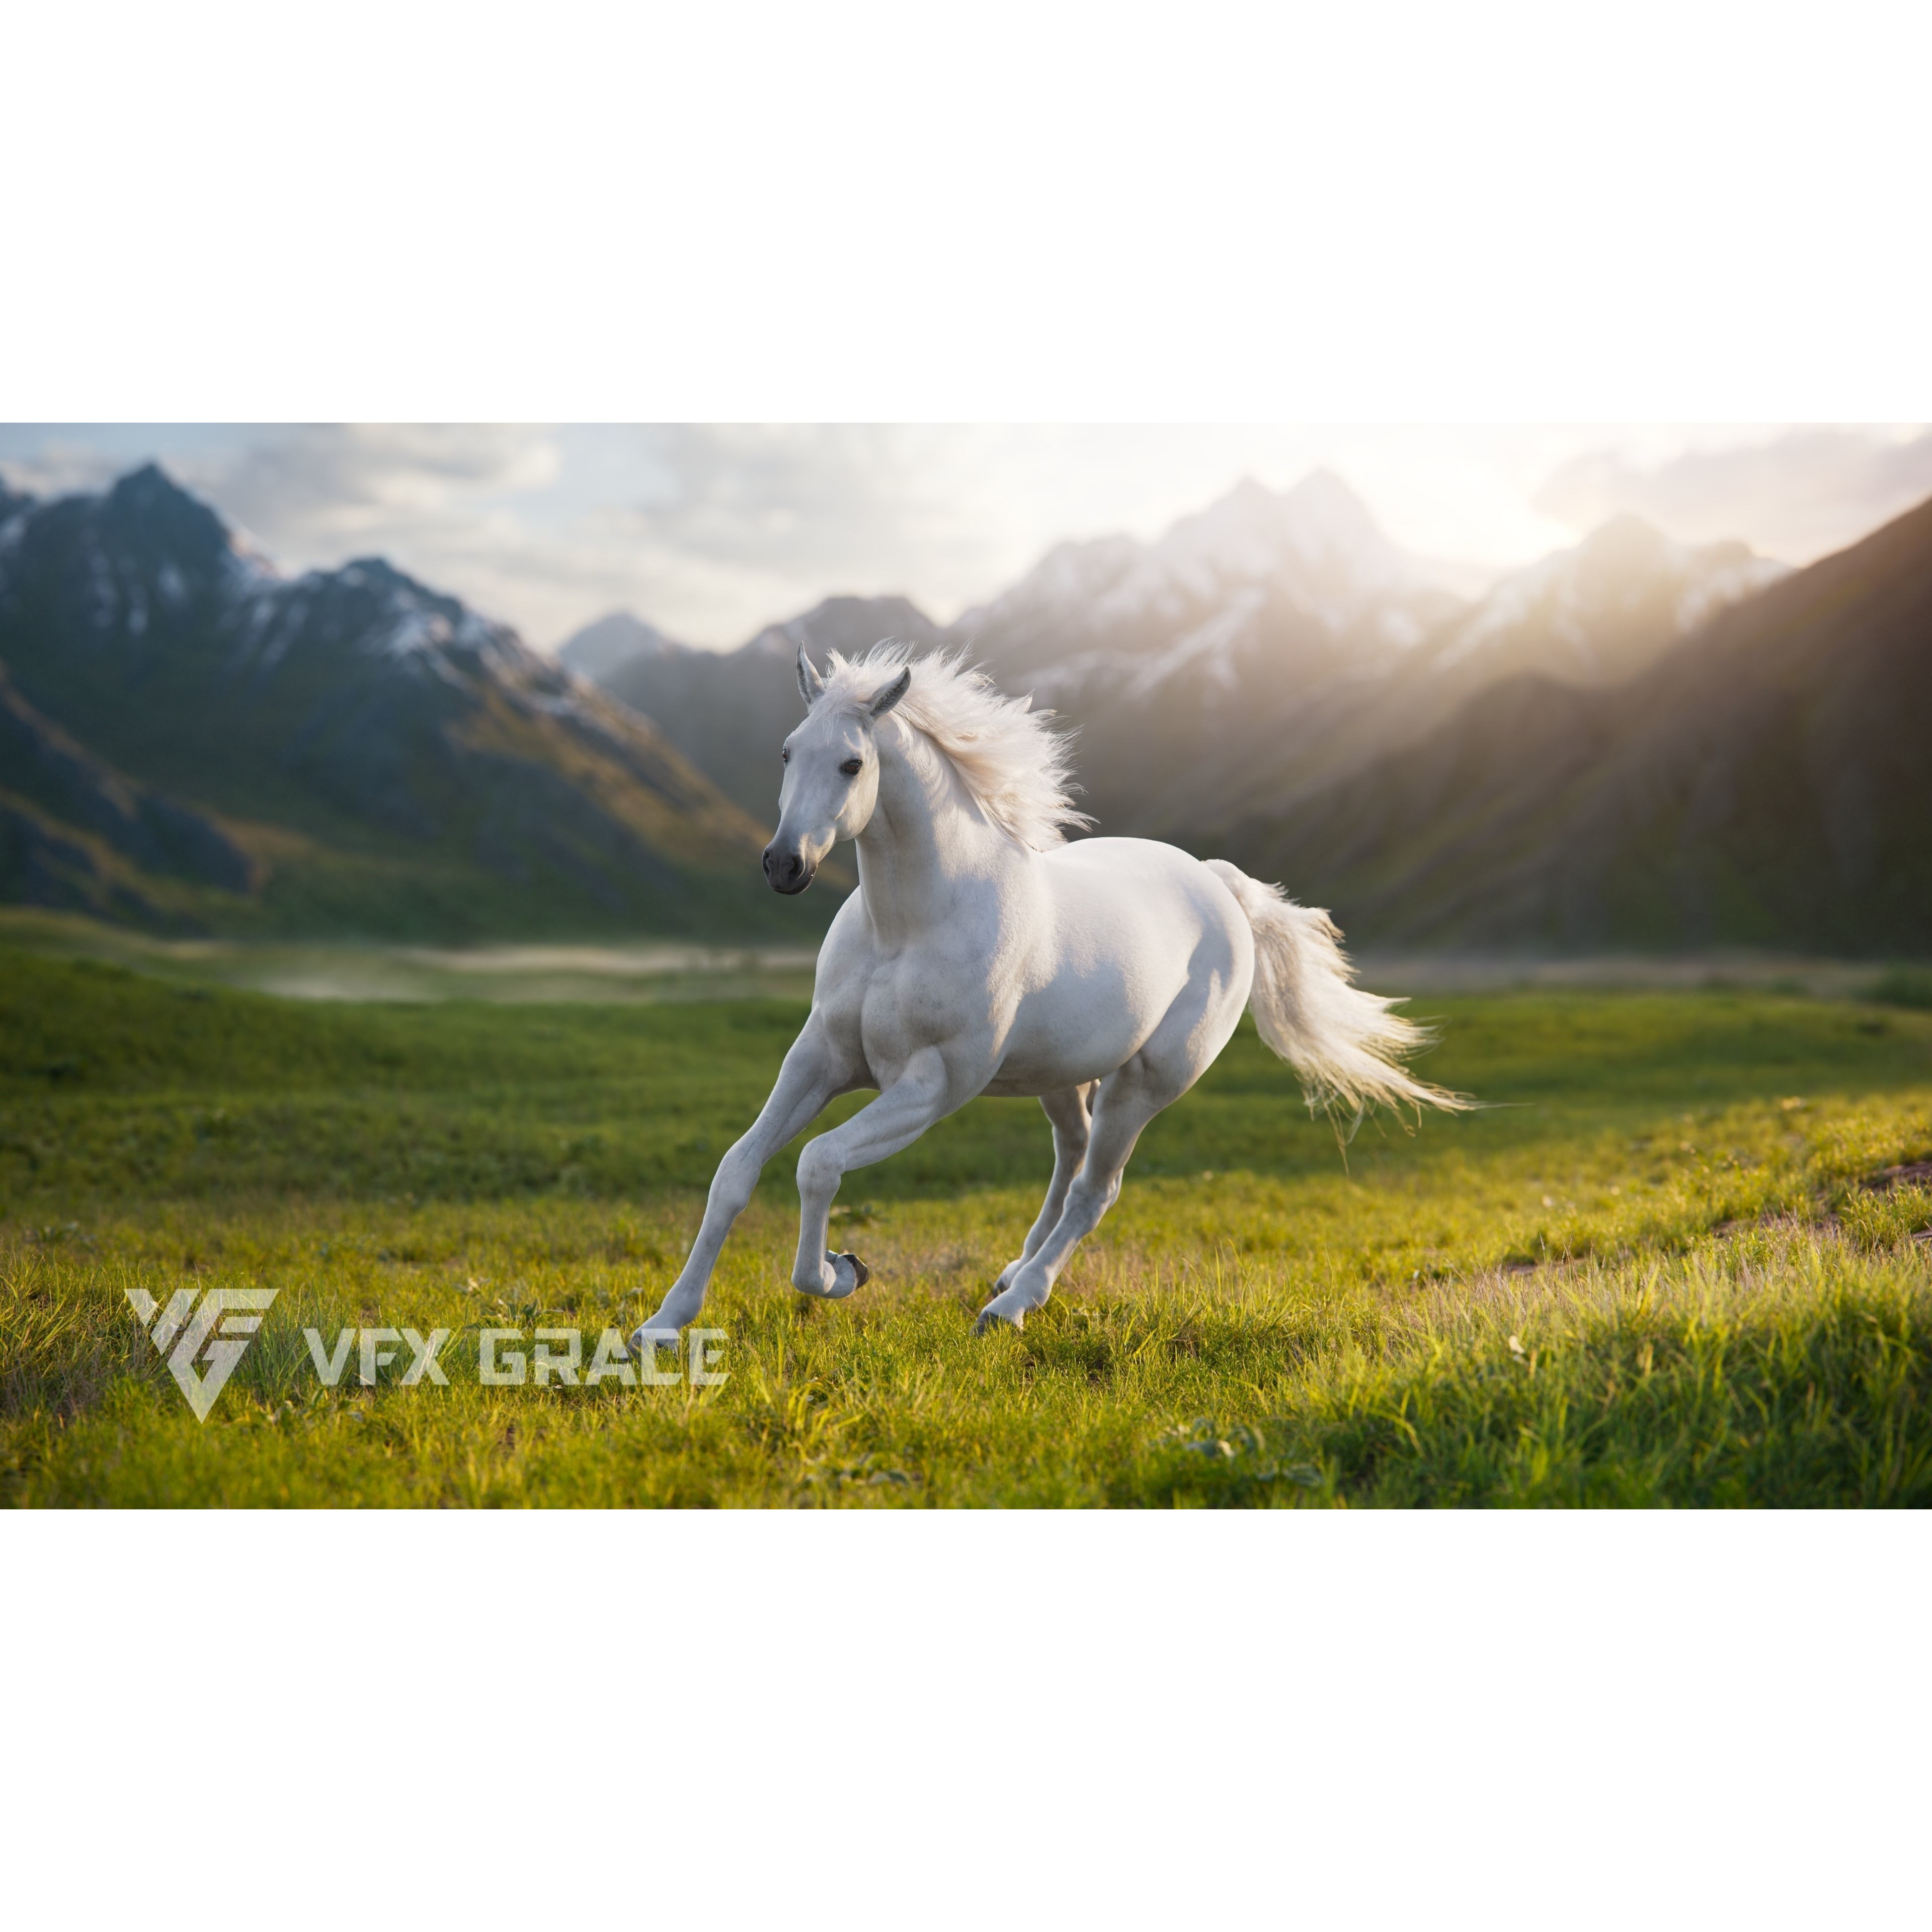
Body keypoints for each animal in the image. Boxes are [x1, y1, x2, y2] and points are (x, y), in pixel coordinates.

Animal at [632, 643, 1465, 1345]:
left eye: (851, 763)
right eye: (787, 752)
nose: (784, 865)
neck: (909, 928)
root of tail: (1220, 885)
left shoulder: (932, 1087)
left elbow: (818, 1163)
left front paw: (841, 1272)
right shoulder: (820, 1060)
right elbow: (736, 1172)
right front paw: (664, 1326)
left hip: (1146, 1083)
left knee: (1097, 1189)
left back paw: (1011, 1306)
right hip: (1060, 1076)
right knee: (1072, 1158)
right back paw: (1011, 1273)